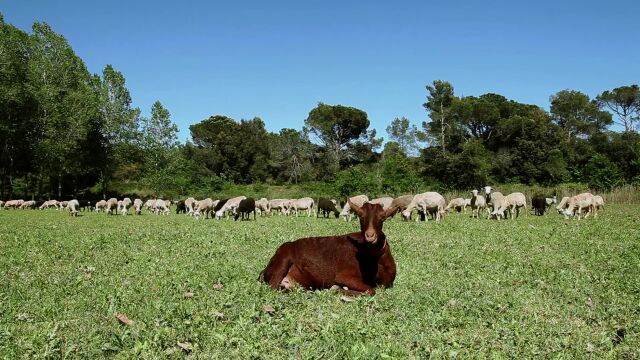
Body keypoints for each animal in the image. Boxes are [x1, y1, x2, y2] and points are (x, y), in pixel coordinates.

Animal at [258, 200, 398, 296]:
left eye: (382, 218)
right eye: (361, 217)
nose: (370, 236)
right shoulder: (344, 275)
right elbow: (370, 290)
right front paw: (338, 290)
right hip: (283, 259)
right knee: (273, 287)